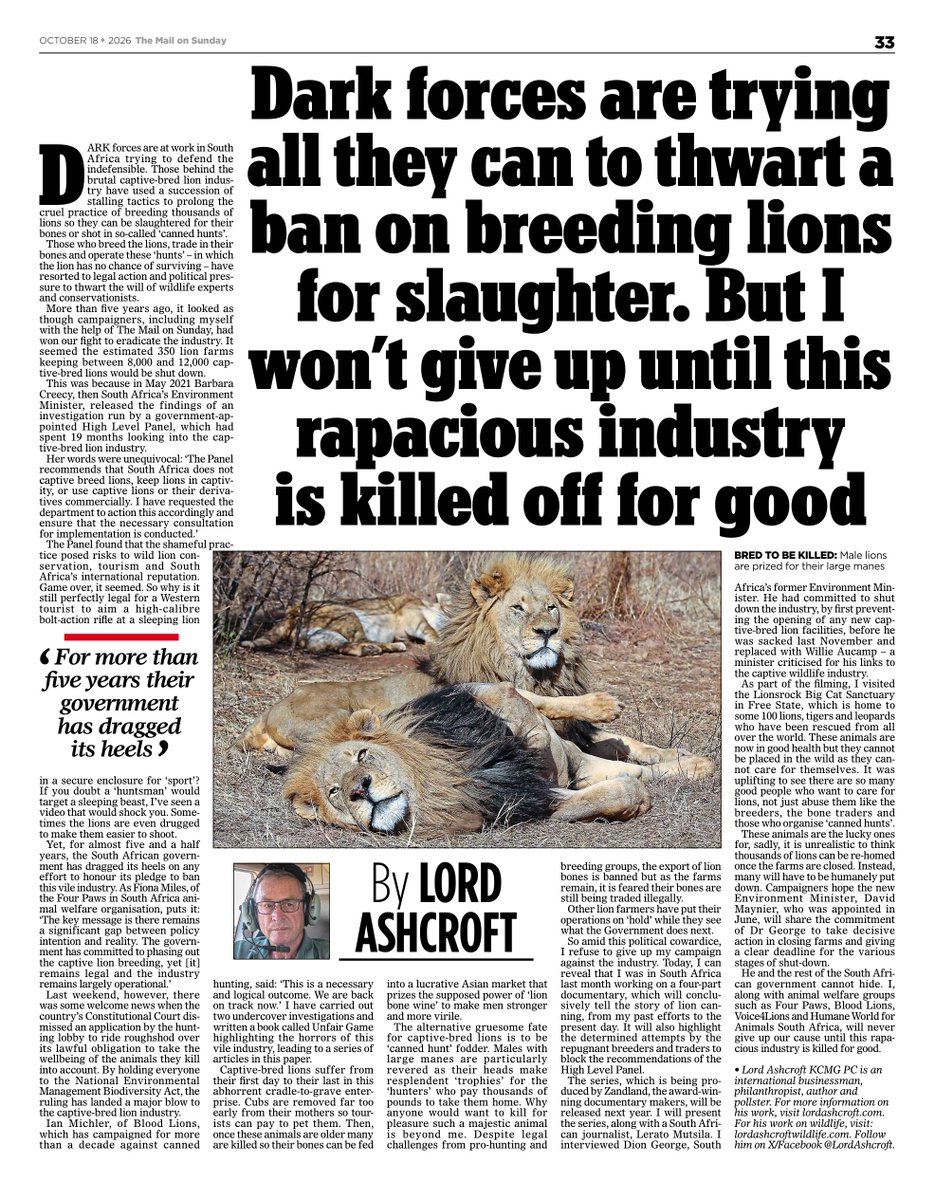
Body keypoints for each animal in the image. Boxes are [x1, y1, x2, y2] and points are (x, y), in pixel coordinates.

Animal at [242, 592, 450, 657]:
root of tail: (290, 614)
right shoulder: (413, 619)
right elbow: (432, 632)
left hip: (325, 637)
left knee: (348, 646)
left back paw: (370, 650)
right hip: (348, 614)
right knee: (362, 640)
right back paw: (388, 647)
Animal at [283, 683, 656, 836]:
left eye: (361, 754)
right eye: (333, 791)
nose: (359, 789)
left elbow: (517, 711)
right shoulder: (512, 800)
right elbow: (613, 793)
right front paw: (635, 799)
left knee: (524, 695)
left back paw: (603, 706)